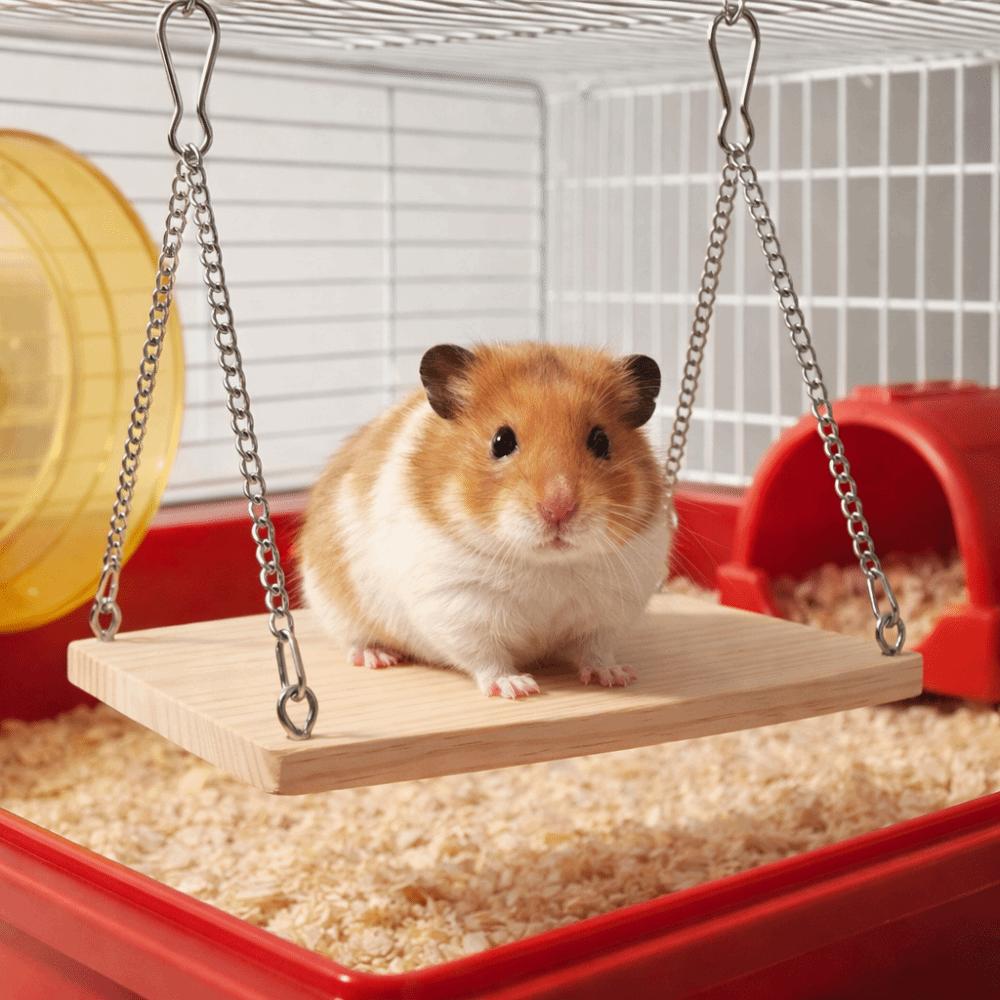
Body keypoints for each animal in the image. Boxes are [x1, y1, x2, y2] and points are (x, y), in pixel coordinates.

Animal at [299, 341, 672, 699]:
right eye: (501, 440)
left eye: (601, 440)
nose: (559, 509)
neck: (546, 565)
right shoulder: (459, 605)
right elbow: (486, 657)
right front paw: (517, 689)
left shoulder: (611, 608)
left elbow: (596, 649)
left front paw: (617, 677)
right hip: (333, 606)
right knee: (353, 639)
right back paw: (377, 657)